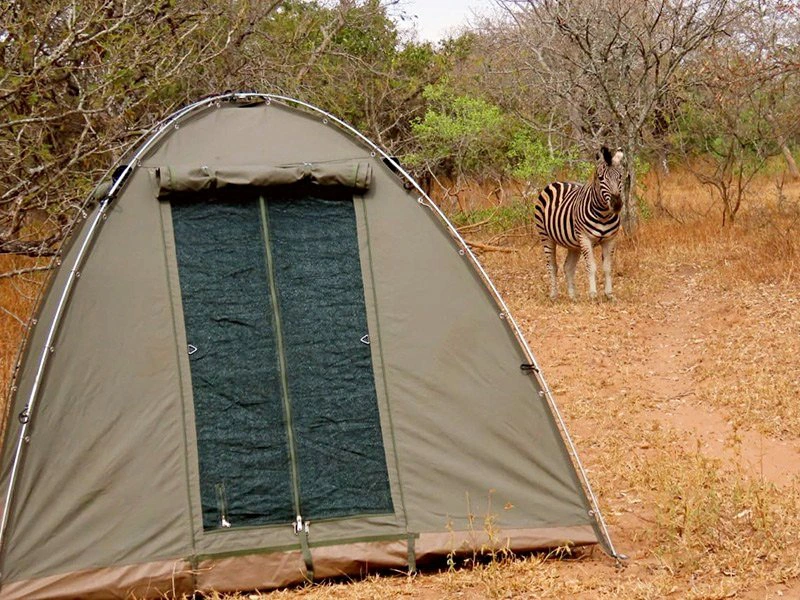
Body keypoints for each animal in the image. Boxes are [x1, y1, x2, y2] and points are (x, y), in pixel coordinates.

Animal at [533, 146, 625, 301]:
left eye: (620, 177)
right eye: (600, 178)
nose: (617, 204)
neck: (604, 215)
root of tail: (557, 182)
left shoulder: (610, 239)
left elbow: (607, 267)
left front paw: (609, 294)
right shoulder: (585, 238)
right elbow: (591, 266)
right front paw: (593, 294)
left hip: (574, 243)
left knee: (568, 267)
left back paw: (573, 297)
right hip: (546, 236)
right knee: (552, 266)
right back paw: (553, 295)